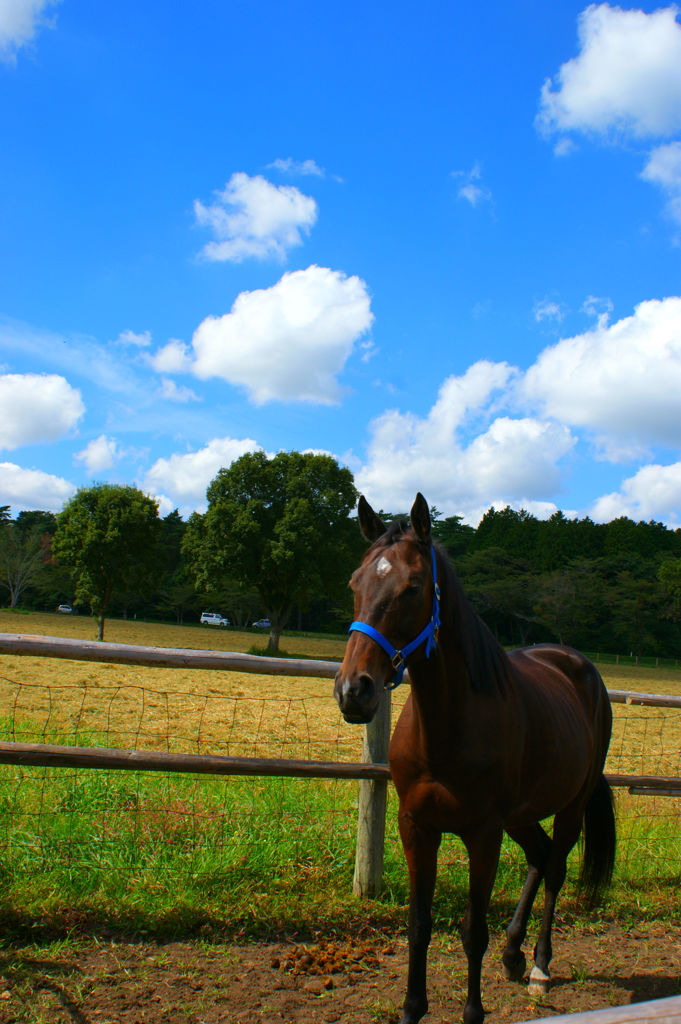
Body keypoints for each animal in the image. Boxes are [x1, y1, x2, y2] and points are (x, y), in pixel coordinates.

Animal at [333, 491, 614, 1024]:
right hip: (521, 815)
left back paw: (540, 966)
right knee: (540, 856)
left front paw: (473, 1011)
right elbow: (419, 925)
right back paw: (514, 953)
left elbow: (472, 931)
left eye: (412, 587)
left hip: (568, 805)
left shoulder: (483, 833)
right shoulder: (416, 827)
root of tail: (578, 666)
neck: (446, 728)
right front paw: (411, 1009)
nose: (354, 691)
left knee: (556, 868)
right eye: (355, 583)